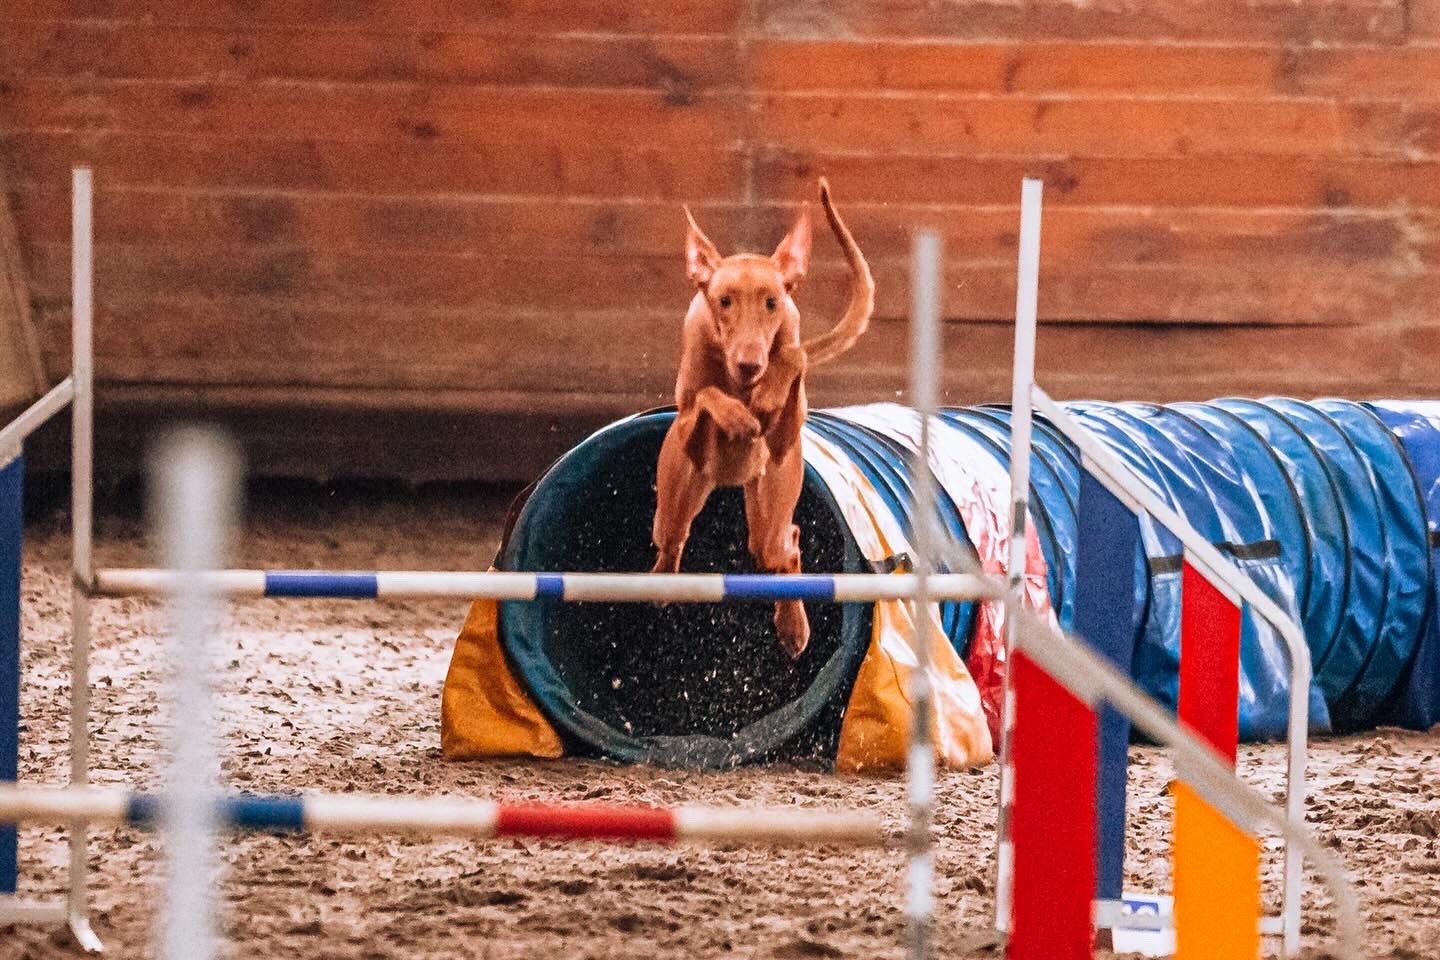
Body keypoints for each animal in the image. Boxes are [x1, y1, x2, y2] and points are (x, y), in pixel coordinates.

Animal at [656, 179, 875, 662]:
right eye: (724, 301)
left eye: (772, 302)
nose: (750, 363)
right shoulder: (687, 425)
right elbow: (708, 395)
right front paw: (738, 414)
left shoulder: (786, 429)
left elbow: (795, 356)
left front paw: (768, 391)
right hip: (678, 499)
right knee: (671, 540)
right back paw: (661, 583)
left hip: (771, 500)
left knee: (783, 548)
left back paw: (792, 624)